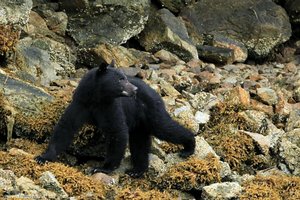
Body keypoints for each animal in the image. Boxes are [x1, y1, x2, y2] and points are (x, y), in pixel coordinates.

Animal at [35, 60, 195, 177]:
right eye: (120, 79)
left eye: (124, 77)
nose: (134, 89)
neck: (96, 99)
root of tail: (153, 91)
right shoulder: (80, 104)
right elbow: (65, 127)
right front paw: (43, 157)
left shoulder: (110, 107)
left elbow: (116, 131)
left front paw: (103, 168)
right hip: (139, 123)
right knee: (140, 142)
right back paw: (137, 170)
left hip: (151, 111)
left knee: (165, 128)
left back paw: (188, 146)